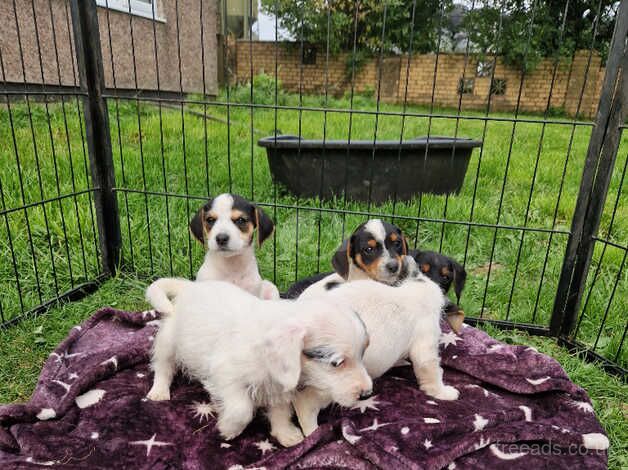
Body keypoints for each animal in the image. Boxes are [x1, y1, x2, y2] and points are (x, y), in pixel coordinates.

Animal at [146, 280, 372, 448]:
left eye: (362, 354)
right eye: (336, 363)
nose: (366, 394)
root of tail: (190, 286)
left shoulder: (281, 387)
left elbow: (280, 412)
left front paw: (286, 434)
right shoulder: (226, 375)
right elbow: (241, 409)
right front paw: (229, 429)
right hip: (168, 341)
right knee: (163, 367)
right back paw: (159, 391)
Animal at [292, 258, 458, 436]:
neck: (413, 292)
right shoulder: (426, 348)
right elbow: (432, 372)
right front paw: (443, 392)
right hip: (330, 386)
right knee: (306, 408)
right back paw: (313, 432)